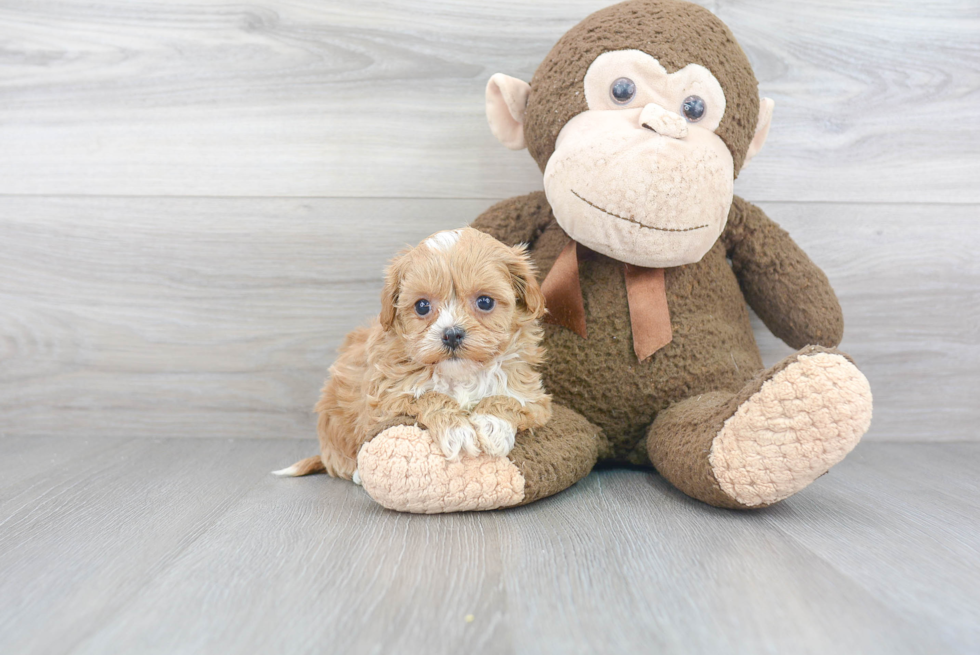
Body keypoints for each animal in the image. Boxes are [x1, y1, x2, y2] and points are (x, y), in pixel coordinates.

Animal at [274, 228, 552, 480]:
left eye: (485, 302)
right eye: (422, 306)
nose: (452, 334)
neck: (459, 374)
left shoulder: (534, 397)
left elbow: (511, 399)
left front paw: (492, 424)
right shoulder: (384, 400)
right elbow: (426, 396)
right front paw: (457, 431)